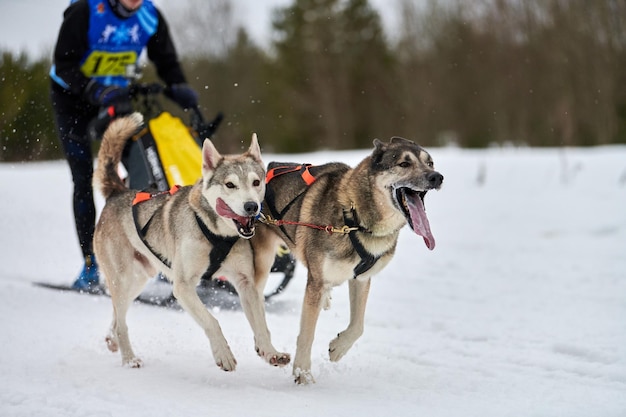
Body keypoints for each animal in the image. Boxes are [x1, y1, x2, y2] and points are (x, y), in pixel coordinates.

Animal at [92, 113, 290, 370]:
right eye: (230, 184)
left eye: (256, 182)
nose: (251, 206)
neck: (216, 234)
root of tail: (118, 191)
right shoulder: (183, 286)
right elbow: (212, 321)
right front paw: (224, 354)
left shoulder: (246, 283)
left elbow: (262, 325)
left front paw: (270, 352)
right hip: (123, 279)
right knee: (121, 322)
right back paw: (129, 358)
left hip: (138, 279)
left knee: (117, 317)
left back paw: (111, 340)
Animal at [251, 137, 442, 384]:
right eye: (404, 164)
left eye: (430, 163)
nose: (437, 177)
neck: (355, 220)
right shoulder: (316, 283)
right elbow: (307, 334)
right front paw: (302, 374)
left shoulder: (361, 278)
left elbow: (358, 326)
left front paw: (338, 348)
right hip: (263, 259)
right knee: (254, 301)